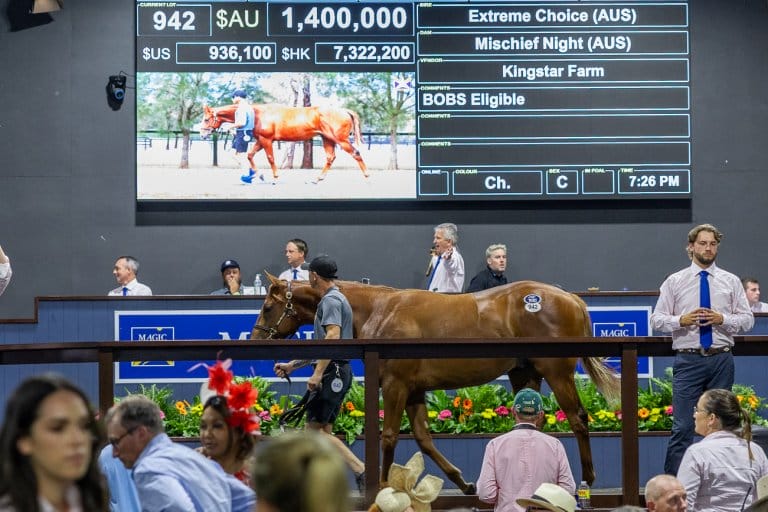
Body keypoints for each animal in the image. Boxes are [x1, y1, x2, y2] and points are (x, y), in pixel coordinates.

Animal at [200, 103, 370, 182]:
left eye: (207, 119)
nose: (202, 134)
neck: (258, 114)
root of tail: (345, 111)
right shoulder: (261, 141)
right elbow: (250, 155)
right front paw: (259, 176)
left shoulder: (267, 140)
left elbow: (270, 158)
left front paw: (275, 177)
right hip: (328, 139)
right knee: (330, 158)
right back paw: (317, 180)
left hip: (340, 140)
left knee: (356, 153)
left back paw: (367, 177)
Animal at [252, 276, 616, 492]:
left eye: (268, 307)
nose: (256, 339)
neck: (380, 310)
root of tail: (571, 298)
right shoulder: (414, 390)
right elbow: (424, 439)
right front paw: (463, 483)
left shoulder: (396, 385)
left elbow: (388, 436)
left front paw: (382, 486)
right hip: (524, 374)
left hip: (557, 372)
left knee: (578, 418)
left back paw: (587, 480)